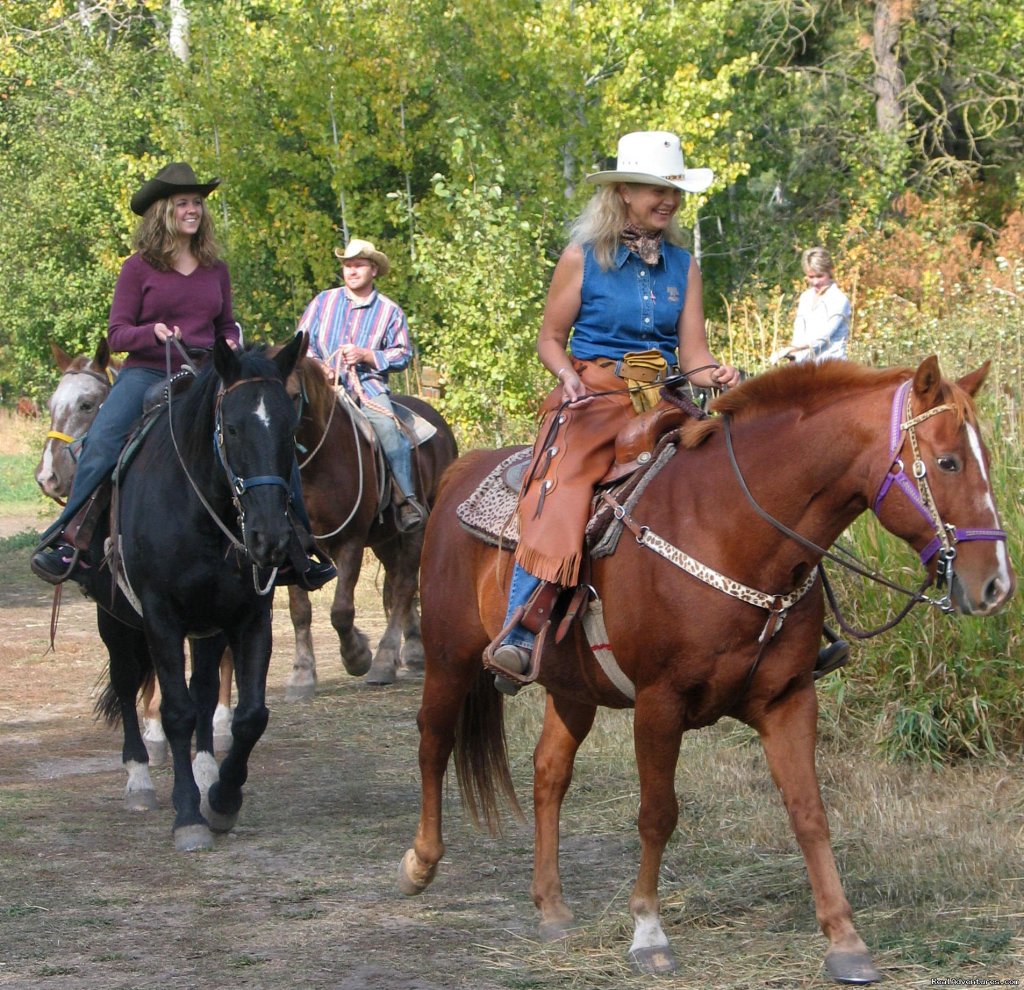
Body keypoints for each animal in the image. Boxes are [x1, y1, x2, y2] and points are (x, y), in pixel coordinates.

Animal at [85, 333, 301, 851]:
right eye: (234, 428)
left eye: (290, 428)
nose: (270, 538)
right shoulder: (161, 618)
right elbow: (176, 712)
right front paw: (187, 815)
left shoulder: (249, 618)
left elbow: (249, 715)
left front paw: (222, 798)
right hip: (116, 620)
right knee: (127, 682)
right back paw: (140, 780)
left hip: (207, 628)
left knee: (204, 688)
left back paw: (205, 774)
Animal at [280, 358, 456, 696]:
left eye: (294, 395)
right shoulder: (291, 544)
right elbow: (300, 610)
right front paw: (302, 674)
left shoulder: (350, 540)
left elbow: (341, 610)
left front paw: (358, 656)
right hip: (385, 539)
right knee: (396, 582)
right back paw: (412, 652)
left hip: (417, 530)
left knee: (403, 586)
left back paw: (386, 662)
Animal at [395, 358, 1011, 982]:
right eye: (948, 461)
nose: (996, 585)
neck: (731, 527)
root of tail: (462, 470)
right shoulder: (658, 703)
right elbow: (657, 814)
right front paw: (648, 931)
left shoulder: (789, 699)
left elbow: (809, 812)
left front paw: (845, 939)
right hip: (449, 658)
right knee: (433, 742)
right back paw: (420, 863)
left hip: (573, 689)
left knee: (549, 775)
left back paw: (551, 905)